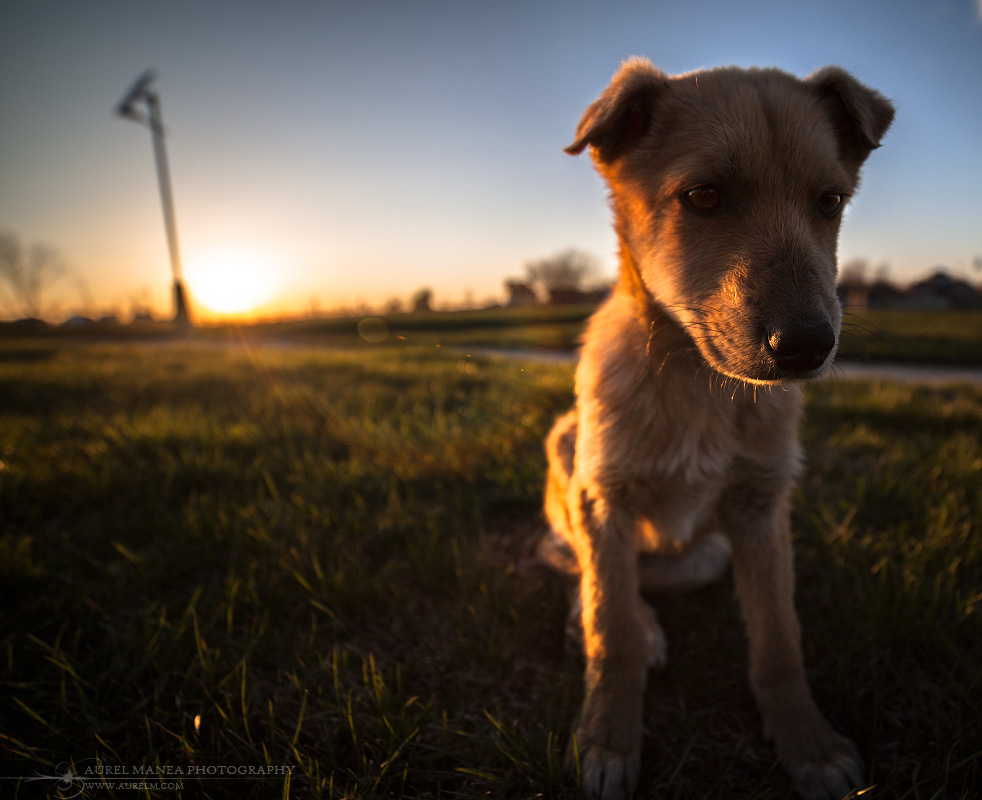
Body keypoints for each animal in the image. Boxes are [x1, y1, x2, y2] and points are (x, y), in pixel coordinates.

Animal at [540, 59, 893, 800]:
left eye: (830, 202)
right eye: (703, 196)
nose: (808, 346)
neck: (696, 382)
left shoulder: (762, 508)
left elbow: (779, 640)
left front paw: (809, 744)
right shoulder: (602, 496)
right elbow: (610, 628)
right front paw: (607, 740)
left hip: (704, 555)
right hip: (567, 452)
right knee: (587, 576)